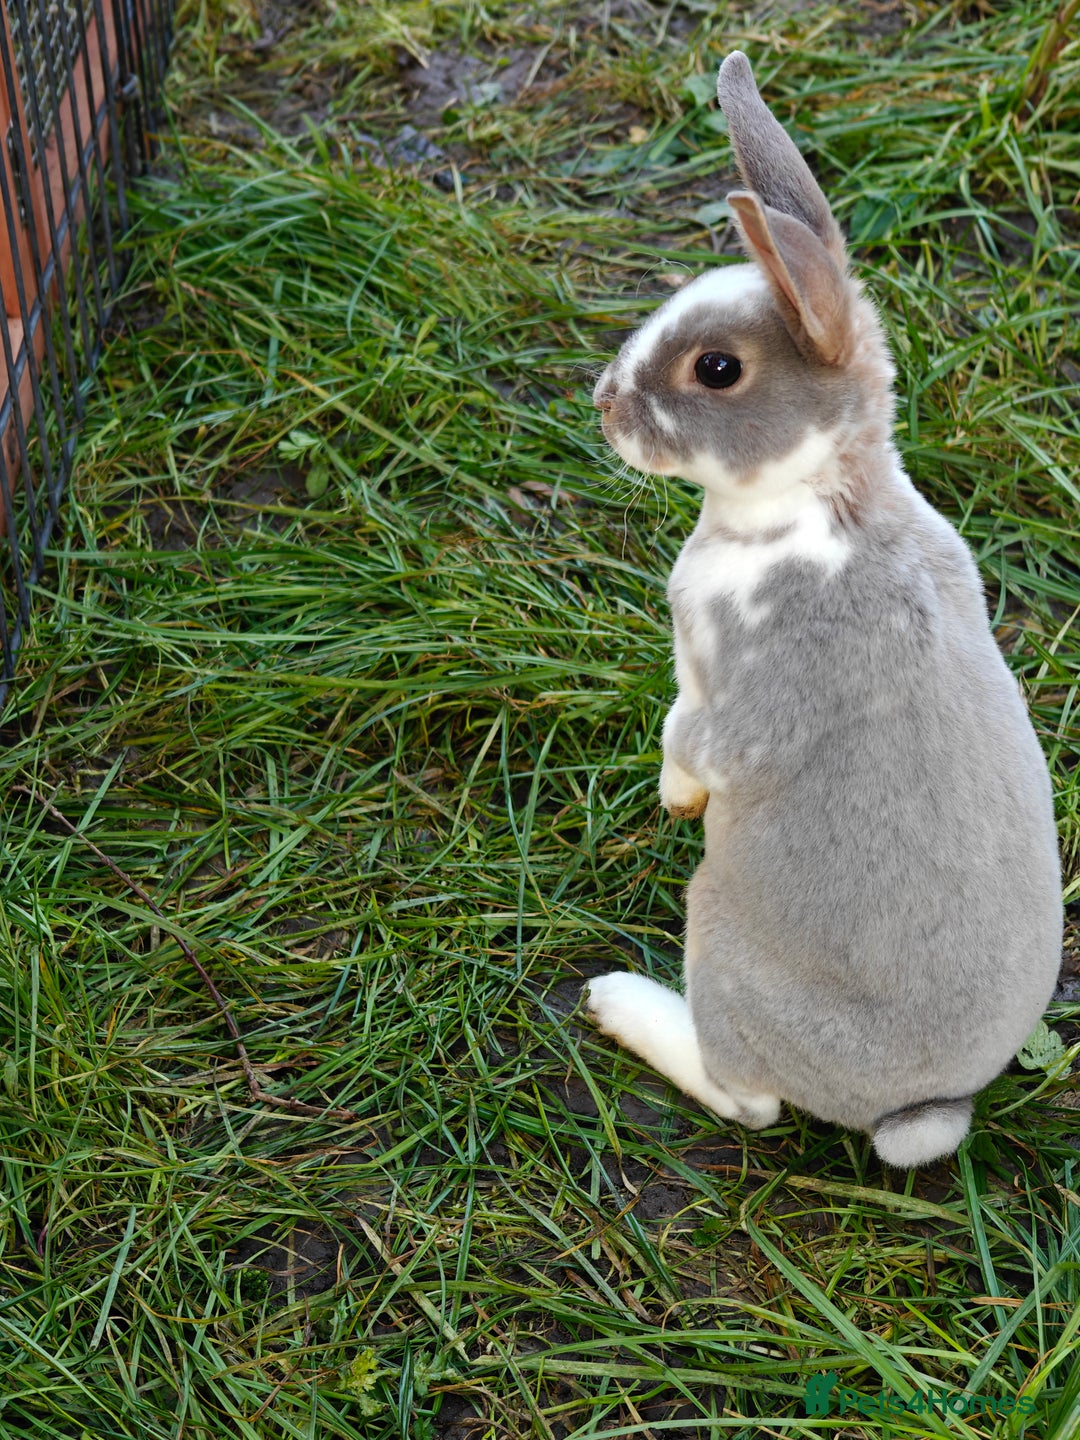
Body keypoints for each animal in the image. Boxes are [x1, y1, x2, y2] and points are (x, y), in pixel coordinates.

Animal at [585, 51, 1062, 1168]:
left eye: (716, 369)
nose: (604, 403)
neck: (814, 510)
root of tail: (921, 1105)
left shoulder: (738, 699)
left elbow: (692, 740)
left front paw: (676, 801)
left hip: (719, 934)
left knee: (748, 1099)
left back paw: (622, 1003)